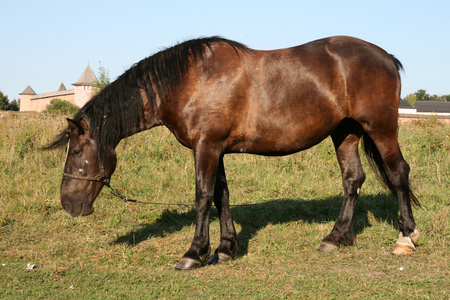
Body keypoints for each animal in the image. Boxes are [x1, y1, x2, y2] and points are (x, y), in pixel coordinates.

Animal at [44, 36, 420, 270]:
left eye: (76, 151)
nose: (68, 204)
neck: (189, 81)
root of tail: (386, 57)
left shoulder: (206, 147)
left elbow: (202, 196)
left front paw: (194, 253)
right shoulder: (216, 149)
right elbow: (221, 196)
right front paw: (225, 249)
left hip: (381, 129)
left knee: (398, 172)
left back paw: (406, 236)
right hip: (345, 132)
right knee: (353, 179)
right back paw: (336, 237)